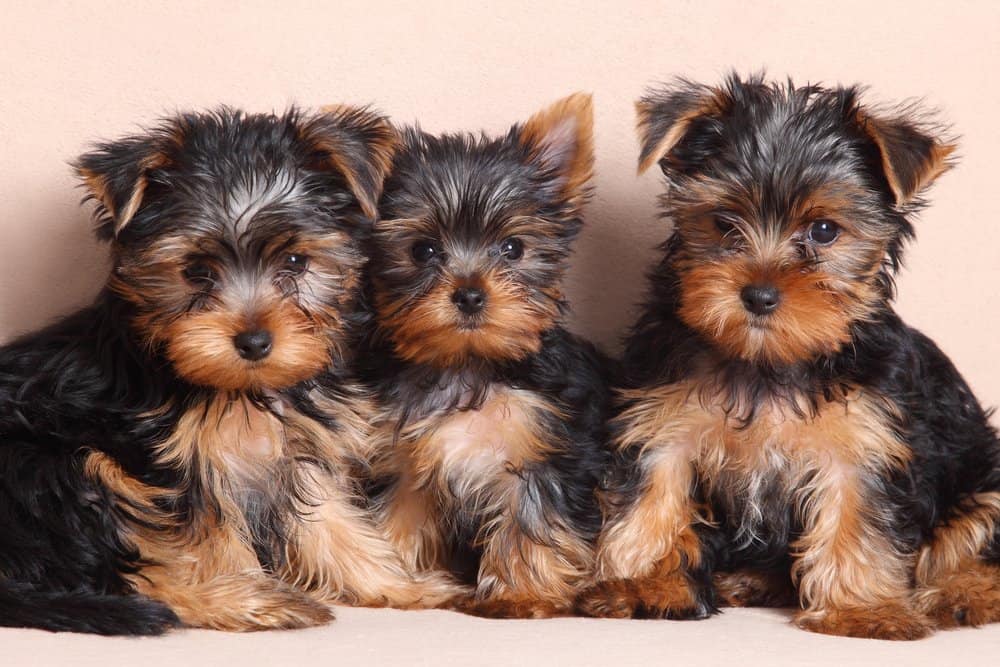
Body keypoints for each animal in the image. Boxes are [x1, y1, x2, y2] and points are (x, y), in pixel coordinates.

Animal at [360, 95, 608, 620]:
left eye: (513, 247)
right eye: (423, 249)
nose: (471, 294)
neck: (466, 364)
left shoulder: (545, 448)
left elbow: (533, 516)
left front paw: (522, 593)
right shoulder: (410, 459)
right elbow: (399, 513)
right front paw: (403, 582)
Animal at [580, 74, 1000, 640]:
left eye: (824, 231)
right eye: (723, 222)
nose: (758, 295)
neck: (769, 361)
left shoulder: (863, 439)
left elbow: (856, 516)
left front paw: (862, 610)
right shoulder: (663, 419)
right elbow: (651, 498)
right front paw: (642, 581)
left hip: (983, 481)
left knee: (971, 539)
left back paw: (963, 593)